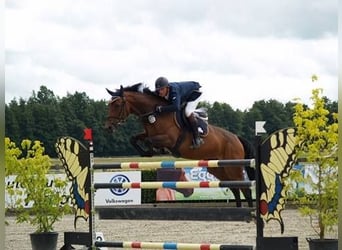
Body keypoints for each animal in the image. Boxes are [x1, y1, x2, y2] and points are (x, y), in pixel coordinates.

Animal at [105, 83, 255, 206]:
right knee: (235, 188)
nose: (108, 127)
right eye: (108, 105)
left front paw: (155, 151)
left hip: (233, 166)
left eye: (117, 105)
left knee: (244, 189)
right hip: (218, 168)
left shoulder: (169, 139)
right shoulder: (147, 134)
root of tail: (236, 138)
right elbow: (134, 139)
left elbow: (149, 141)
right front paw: (145, 153)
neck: (156, 115)